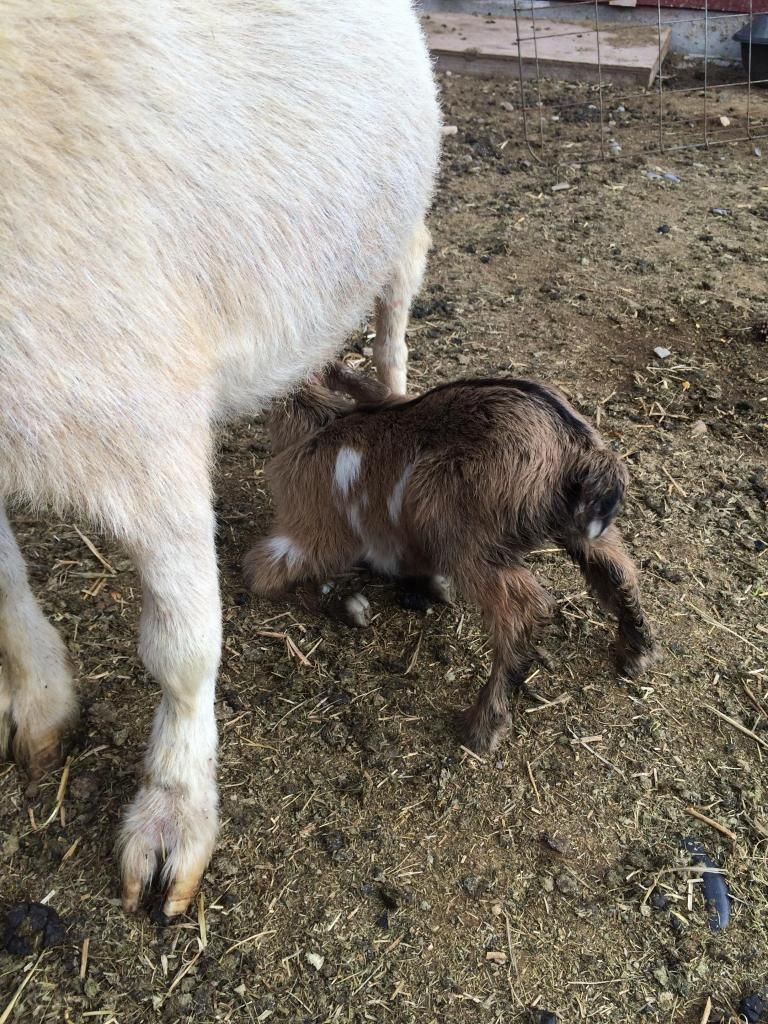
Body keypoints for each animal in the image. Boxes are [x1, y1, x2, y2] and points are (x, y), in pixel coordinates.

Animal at [0, 0, 440, 917]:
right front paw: (39, 701)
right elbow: (1, 579)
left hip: (400, 215)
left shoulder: (145, 413)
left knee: (395, 310)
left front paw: (173, 817)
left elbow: (181, 646)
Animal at [244, 367, 659, 754]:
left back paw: (484, 723)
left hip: (455, 523)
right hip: (581, 528)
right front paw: (426, 587)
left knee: (523, 609)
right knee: (618, 571)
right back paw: (636, 652)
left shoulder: (310, 533)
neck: (320, 420)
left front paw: (346, 604)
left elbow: (271, 573)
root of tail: (579, 452)